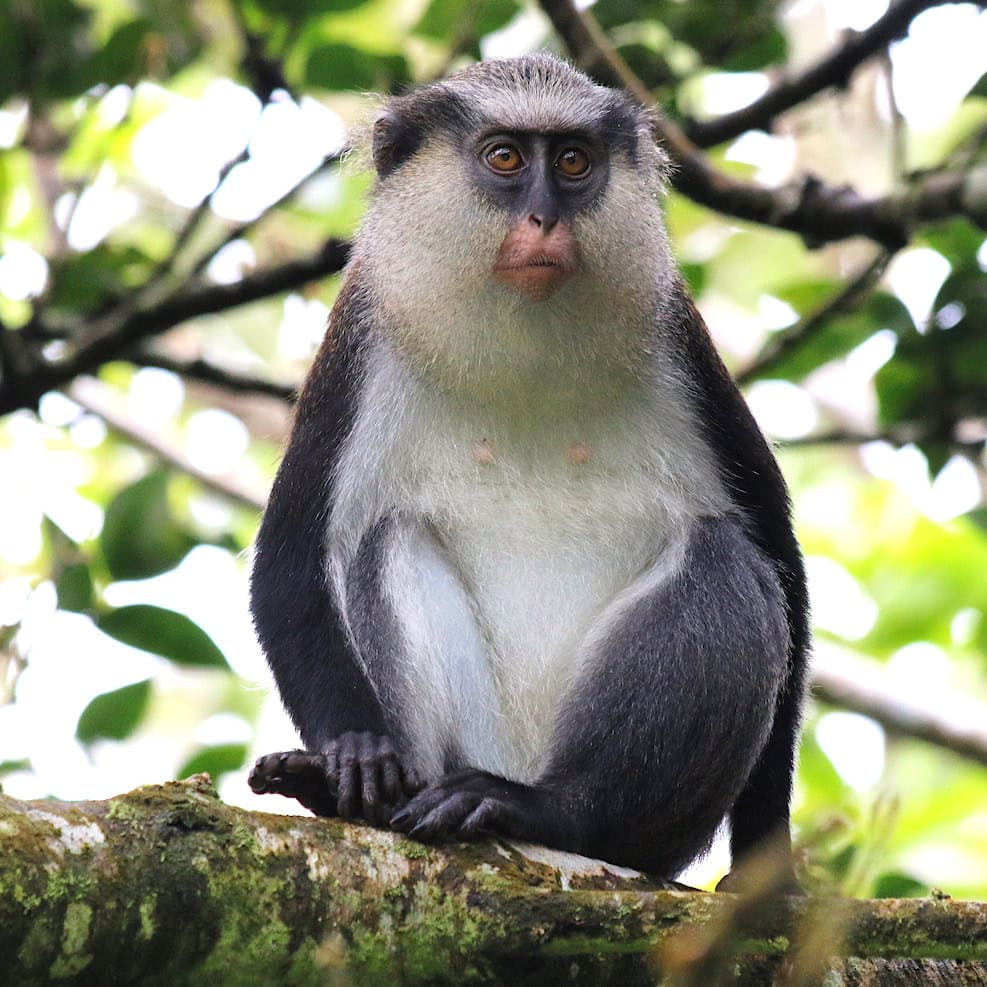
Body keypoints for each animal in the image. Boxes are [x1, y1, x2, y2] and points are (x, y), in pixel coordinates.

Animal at [247, 53, 809, 888]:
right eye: (506, 158)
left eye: (572, 162)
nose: (544, 219)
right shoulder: (356, 345)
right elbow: (289, 559)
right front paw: (354, 752)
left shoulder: (679, 341)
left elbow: (777, 556)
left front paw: (768, 868)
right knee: (388, 537)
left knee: (722, 555)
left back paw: (549, 811)